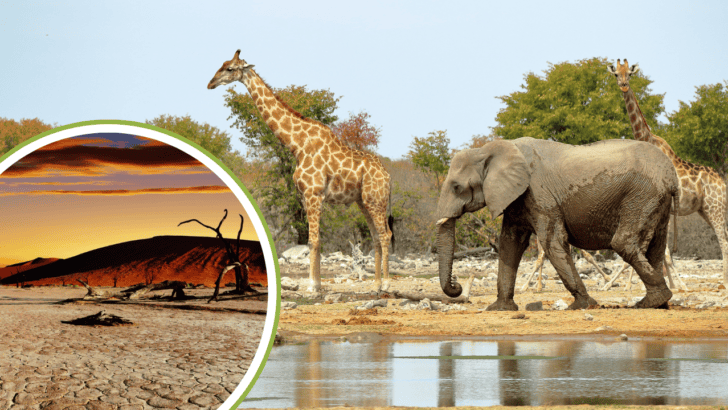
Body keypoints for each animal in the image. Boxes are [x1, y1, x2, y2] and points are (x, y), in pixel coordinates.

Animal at [436, 137, 680, 310]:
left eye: (457, 187)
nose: (456, 284)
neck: (488, 150)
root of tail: (672, 175)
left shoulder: (539, 194)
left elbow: (552, 241)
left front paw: (583, 305)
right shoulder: (517, 197)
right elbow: (510, 244)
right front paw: (499, 309)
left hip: (642, 195)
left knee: (624, 243)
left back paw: (652, 302)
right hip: (656, 200)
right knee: (656, 248)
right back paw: (658, 303)